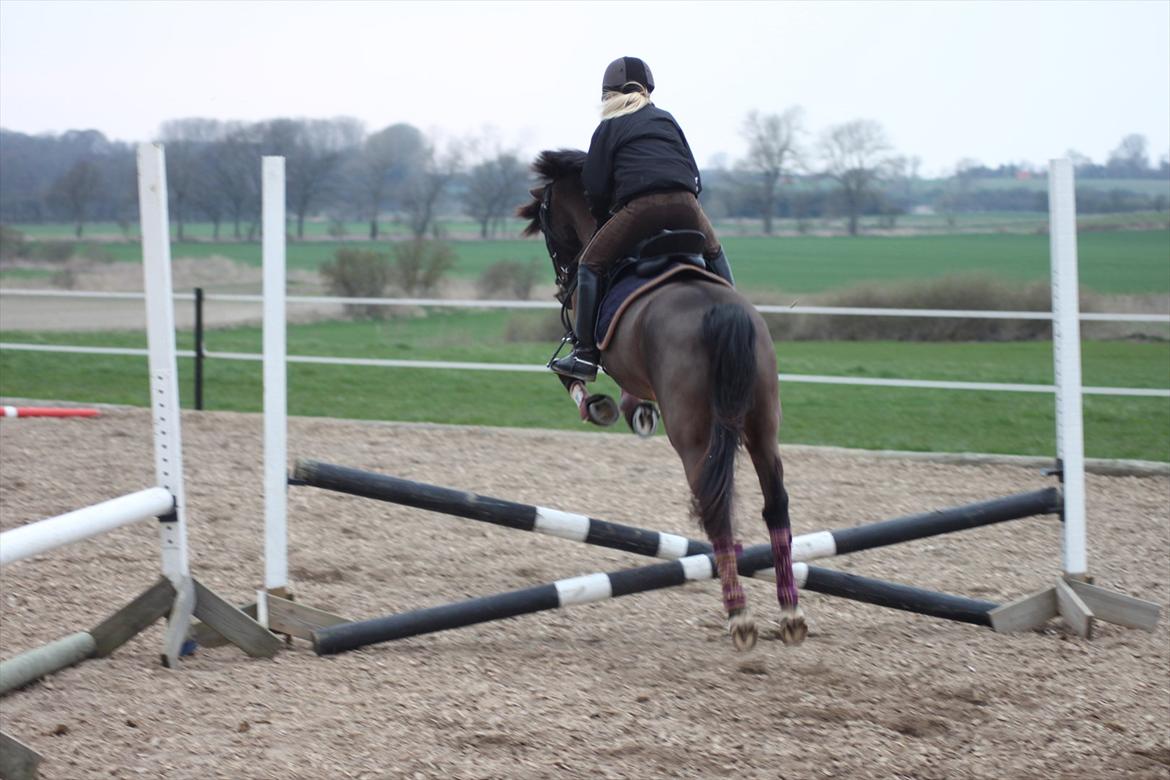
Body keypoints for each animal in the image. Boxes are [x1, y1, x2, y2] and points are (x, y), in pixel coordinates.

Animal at [518, 149, 806, 650]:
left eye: (548, 225)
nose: (562, 284)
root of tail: (721, 311)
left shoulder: (597, 349)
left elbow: (575, 375)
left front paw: (600, 405)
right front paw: (635, 412)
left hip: (693, 436)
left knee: (716, 509)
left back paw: (739, 617)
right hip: (762, 425)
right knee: (775, 504)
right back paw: (789, 611)